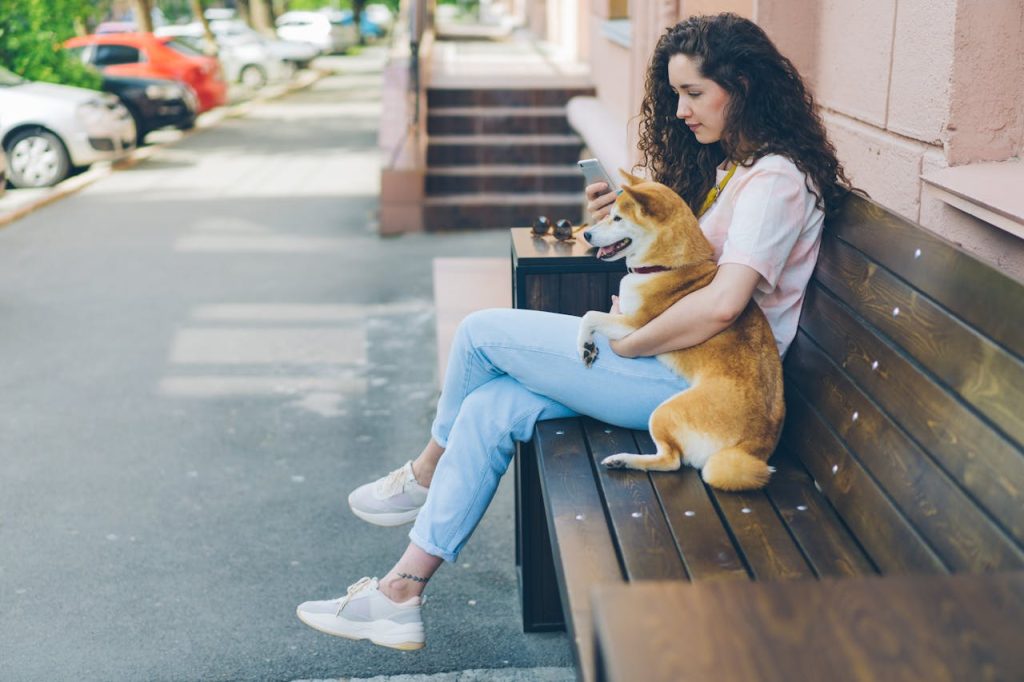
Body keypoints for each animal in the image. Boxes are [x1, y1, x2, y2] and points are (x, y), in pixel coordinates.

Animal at [577, 171, 782, 489]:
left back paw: (625, 460)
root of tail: (752, 446)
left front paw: (585, 345)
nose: (586, 235)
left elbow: (589, 317)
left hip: (665, 412)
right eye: (609, 213)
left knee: (671, 461)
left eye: (618, 218)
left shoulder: (635, 325)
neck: (667, 267)